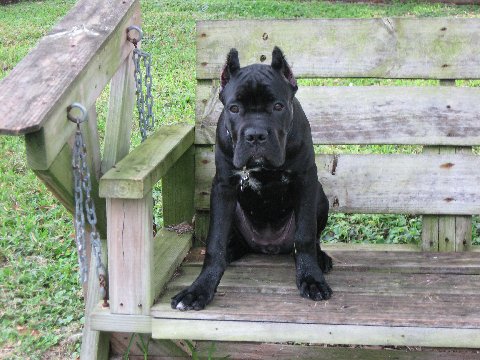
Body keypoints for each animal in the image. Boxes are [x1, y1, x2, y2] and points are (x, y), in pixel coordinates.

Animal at [171, 46, 332, 310]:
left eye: (278, 106)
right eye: (234, 108)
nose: (255, 135)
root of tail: (269, 247)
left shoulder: (306, 180)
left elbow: (305, 236)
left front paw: (311, 278)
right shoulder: (224, 187)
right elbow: (215, 243)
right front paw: (200, 289)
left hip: (320, 196)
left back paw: (321, 259)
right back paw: (231, 251)